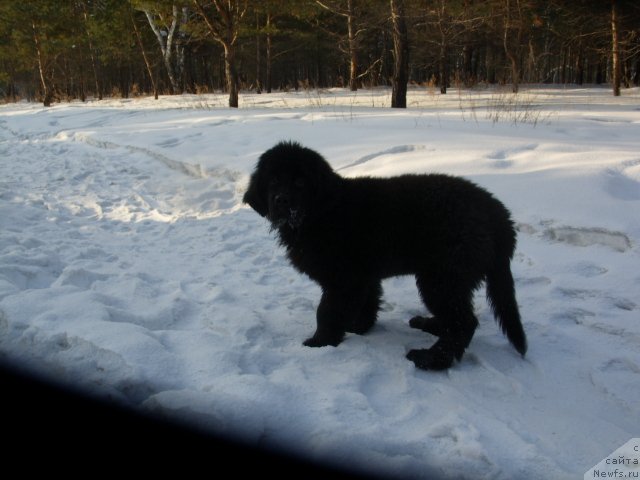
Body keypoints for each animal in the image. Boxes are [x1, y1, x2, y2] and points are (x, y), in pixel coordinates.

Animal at [242, 141, 528, 370]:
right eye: (273, 180)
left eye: (300, 182)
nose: (281, 200)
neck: (321, 214)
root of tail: (500, 214)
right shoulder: (364, 275)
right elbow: (367, 302)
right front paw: (358, 327)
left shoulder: (344, 279)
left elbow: (327, 311)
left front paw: (321, 342)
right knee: (456, 317)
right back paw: (428, 324)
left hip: (443, 276)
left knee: (463, 322)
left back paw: (431, 359)